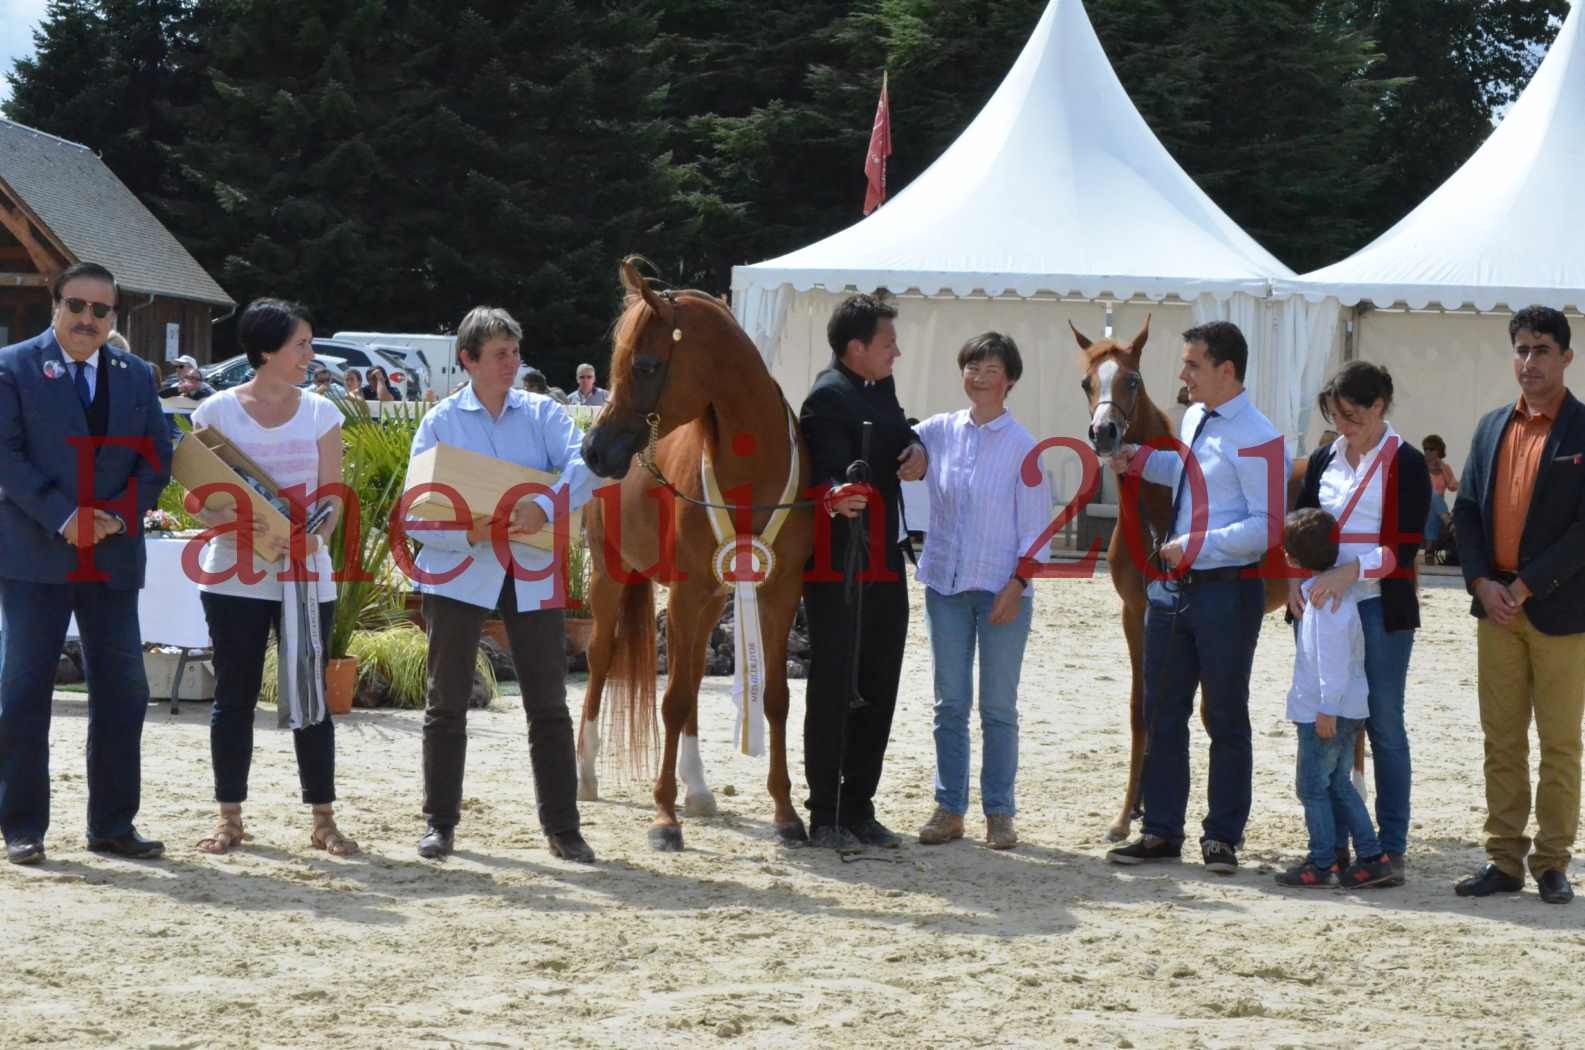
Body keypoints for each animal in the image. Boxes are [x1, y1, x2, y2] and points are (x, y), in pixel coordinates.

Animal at [576, 258, 811, 850]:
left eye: (646, 365)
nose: (594, 451)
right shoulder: (684, 592)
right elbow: (674, 700)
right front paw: (664, 817)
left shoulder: (776, 593)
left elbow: (775, 698)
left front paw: (786, 813)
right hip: (611, 580)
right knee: (601, 659)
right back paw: (586, 774)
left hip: (708, 603)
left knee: (693, 670)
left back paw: (699, 790)